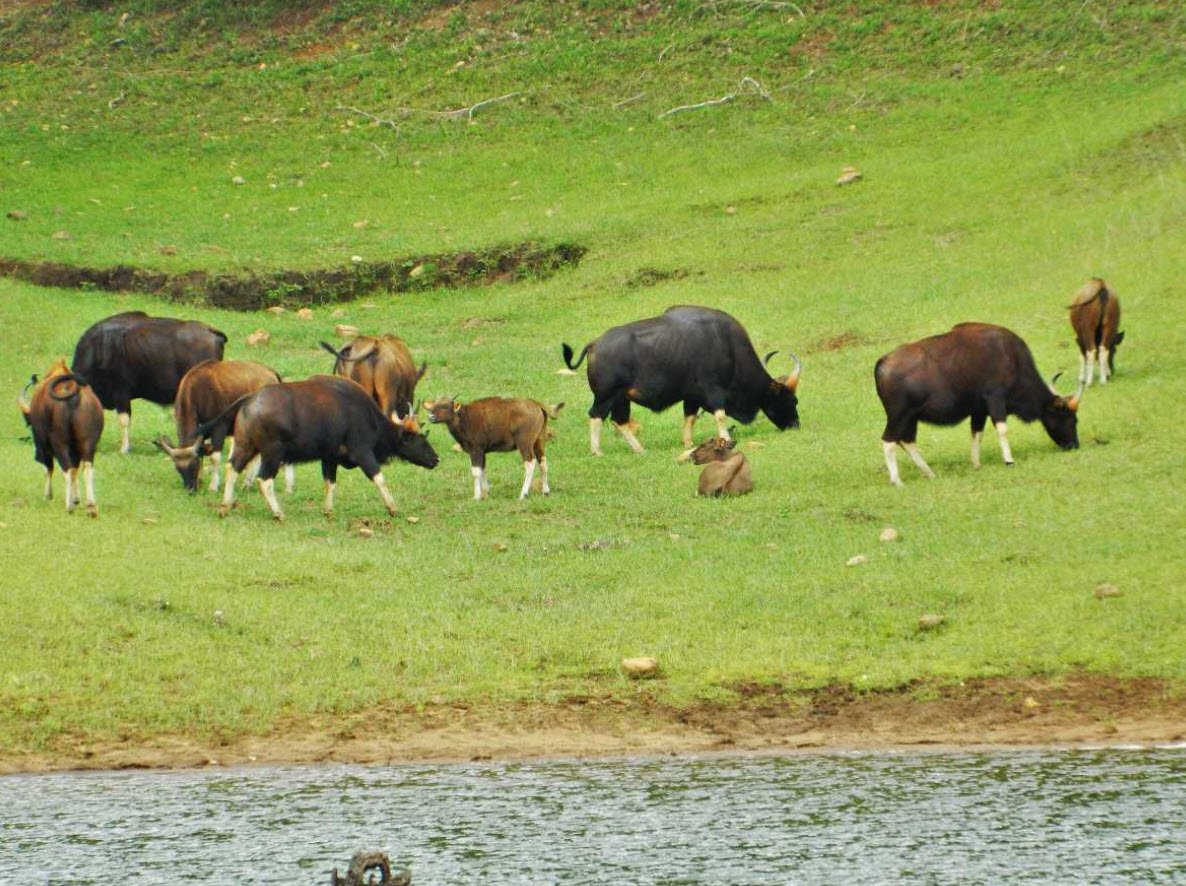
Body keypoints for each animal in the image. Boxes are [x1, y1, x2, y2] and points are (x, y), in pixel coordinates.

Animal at [199, 374, 441, 519]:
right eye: (420, 439)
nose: (436, 459)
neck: (367, 416)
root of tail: (250, 399)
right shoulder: (362, 452)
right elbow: (379, 478)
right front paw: (392, 507)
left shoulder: (329, 457)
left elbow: (329, 483)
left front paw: (328, 511)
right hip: (272, 453)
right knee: (263, 480)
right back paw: (278, 513)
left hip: (245, 445)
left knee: (232, 468)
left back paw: (225, 506)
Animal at [426, 396, 564, 498]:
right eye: (433, 406)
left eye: (445, 406)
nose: (431, 417)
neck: (464, 419)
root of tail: (536, 404)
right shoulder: (482, 452)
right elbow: (483, 469)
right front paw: (486, 492)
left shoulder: (476, 450)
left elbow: (476, 472)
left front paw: (477, 496)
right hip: (539, 441)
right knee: (543, 462)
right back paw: (546, 491)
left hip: (525, 443)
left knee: (530, 463)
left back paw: (523, 494)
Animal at [559, 306, 801, 457]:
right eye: (791, 400)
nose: (795, 425)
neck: (728, 347)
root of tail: (594, 344)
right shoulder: (712, 390)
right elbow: (720, 416)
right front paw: (725, 439)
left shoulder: (692, 396)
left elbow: (690, 418)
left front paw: (688, 443)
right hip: (606, 396)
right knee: (596, 416)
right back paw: (597, 451)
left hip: (621, 398)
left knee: (620, 421)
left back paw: (640, 450)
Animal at [872, 320, 1086, 486]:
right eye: (1071, 419)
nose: (1074, 445)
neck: (1011, 357)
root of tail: (883, 362)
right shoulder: (995, 399)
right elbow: (1002, 429)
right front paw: (1009, 461)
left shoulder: (979, 410)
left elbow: (977, 433)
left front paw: (976, 464)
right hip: (899, 416)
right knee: (888, 440)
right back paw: (897, 481)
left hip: (911, 418)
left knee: (907, 440)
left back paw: (930, 473)